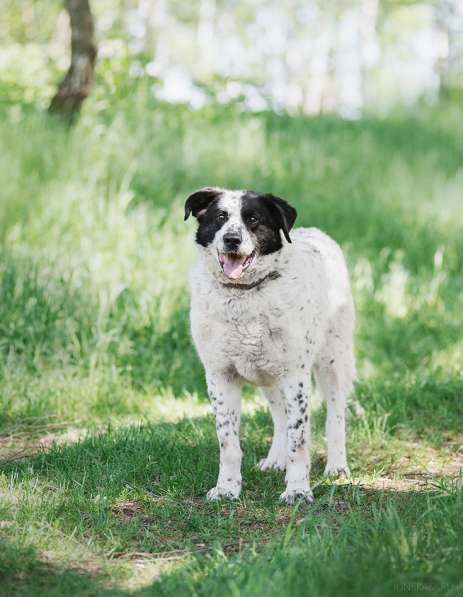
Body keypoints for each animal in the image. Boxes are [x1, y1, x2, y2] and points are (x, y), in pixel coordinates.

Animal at [185, 187, 356, 502]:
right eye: (220, 217)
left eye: (253, 219)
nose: (232, 239)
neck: (244, 295)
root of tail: (317, 233)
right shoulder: (220, 376)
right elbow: (228, 442)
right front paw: (227, 488)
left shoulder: (295, 377)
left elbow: (299, 440)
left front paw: (298, 489)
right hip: (268, 375)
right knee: (280, 417)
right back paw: (276, 460)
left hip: (332, 361)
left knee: (335, 415)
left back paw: (337, 467)